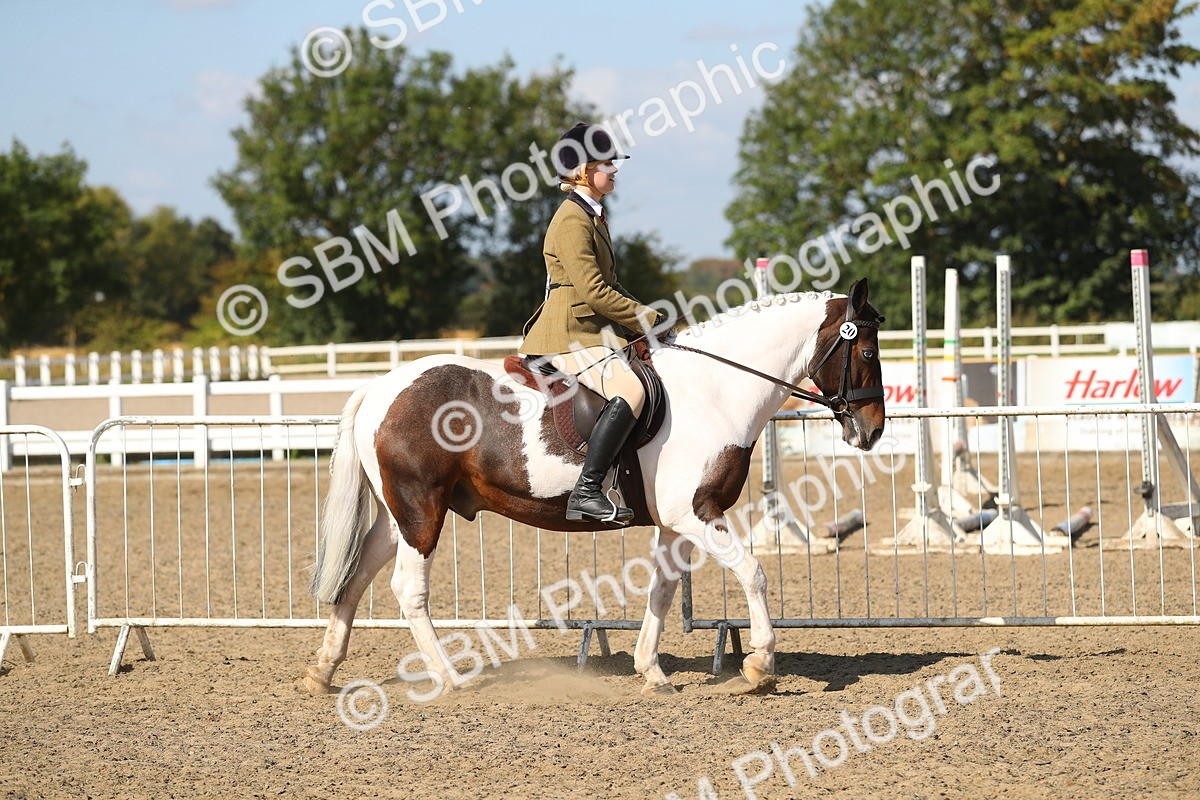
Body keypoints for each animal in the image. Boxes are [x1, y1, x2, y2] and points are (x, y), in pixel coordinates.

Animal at [303, 279, 886, 698]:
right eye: (867, 354)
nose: (872, 430)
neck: (715, 390)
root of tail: (382, 386)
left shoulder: (675, 523)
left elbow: (662, 591)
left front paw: (651, 670)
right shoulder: (697, 512)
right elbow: (754, 573)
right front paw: (760, 665)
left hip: (396, 514)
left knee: (358, 575)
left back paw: (323, 670)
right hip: (422, 509)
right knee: (408, 589)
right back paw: (449, 678)